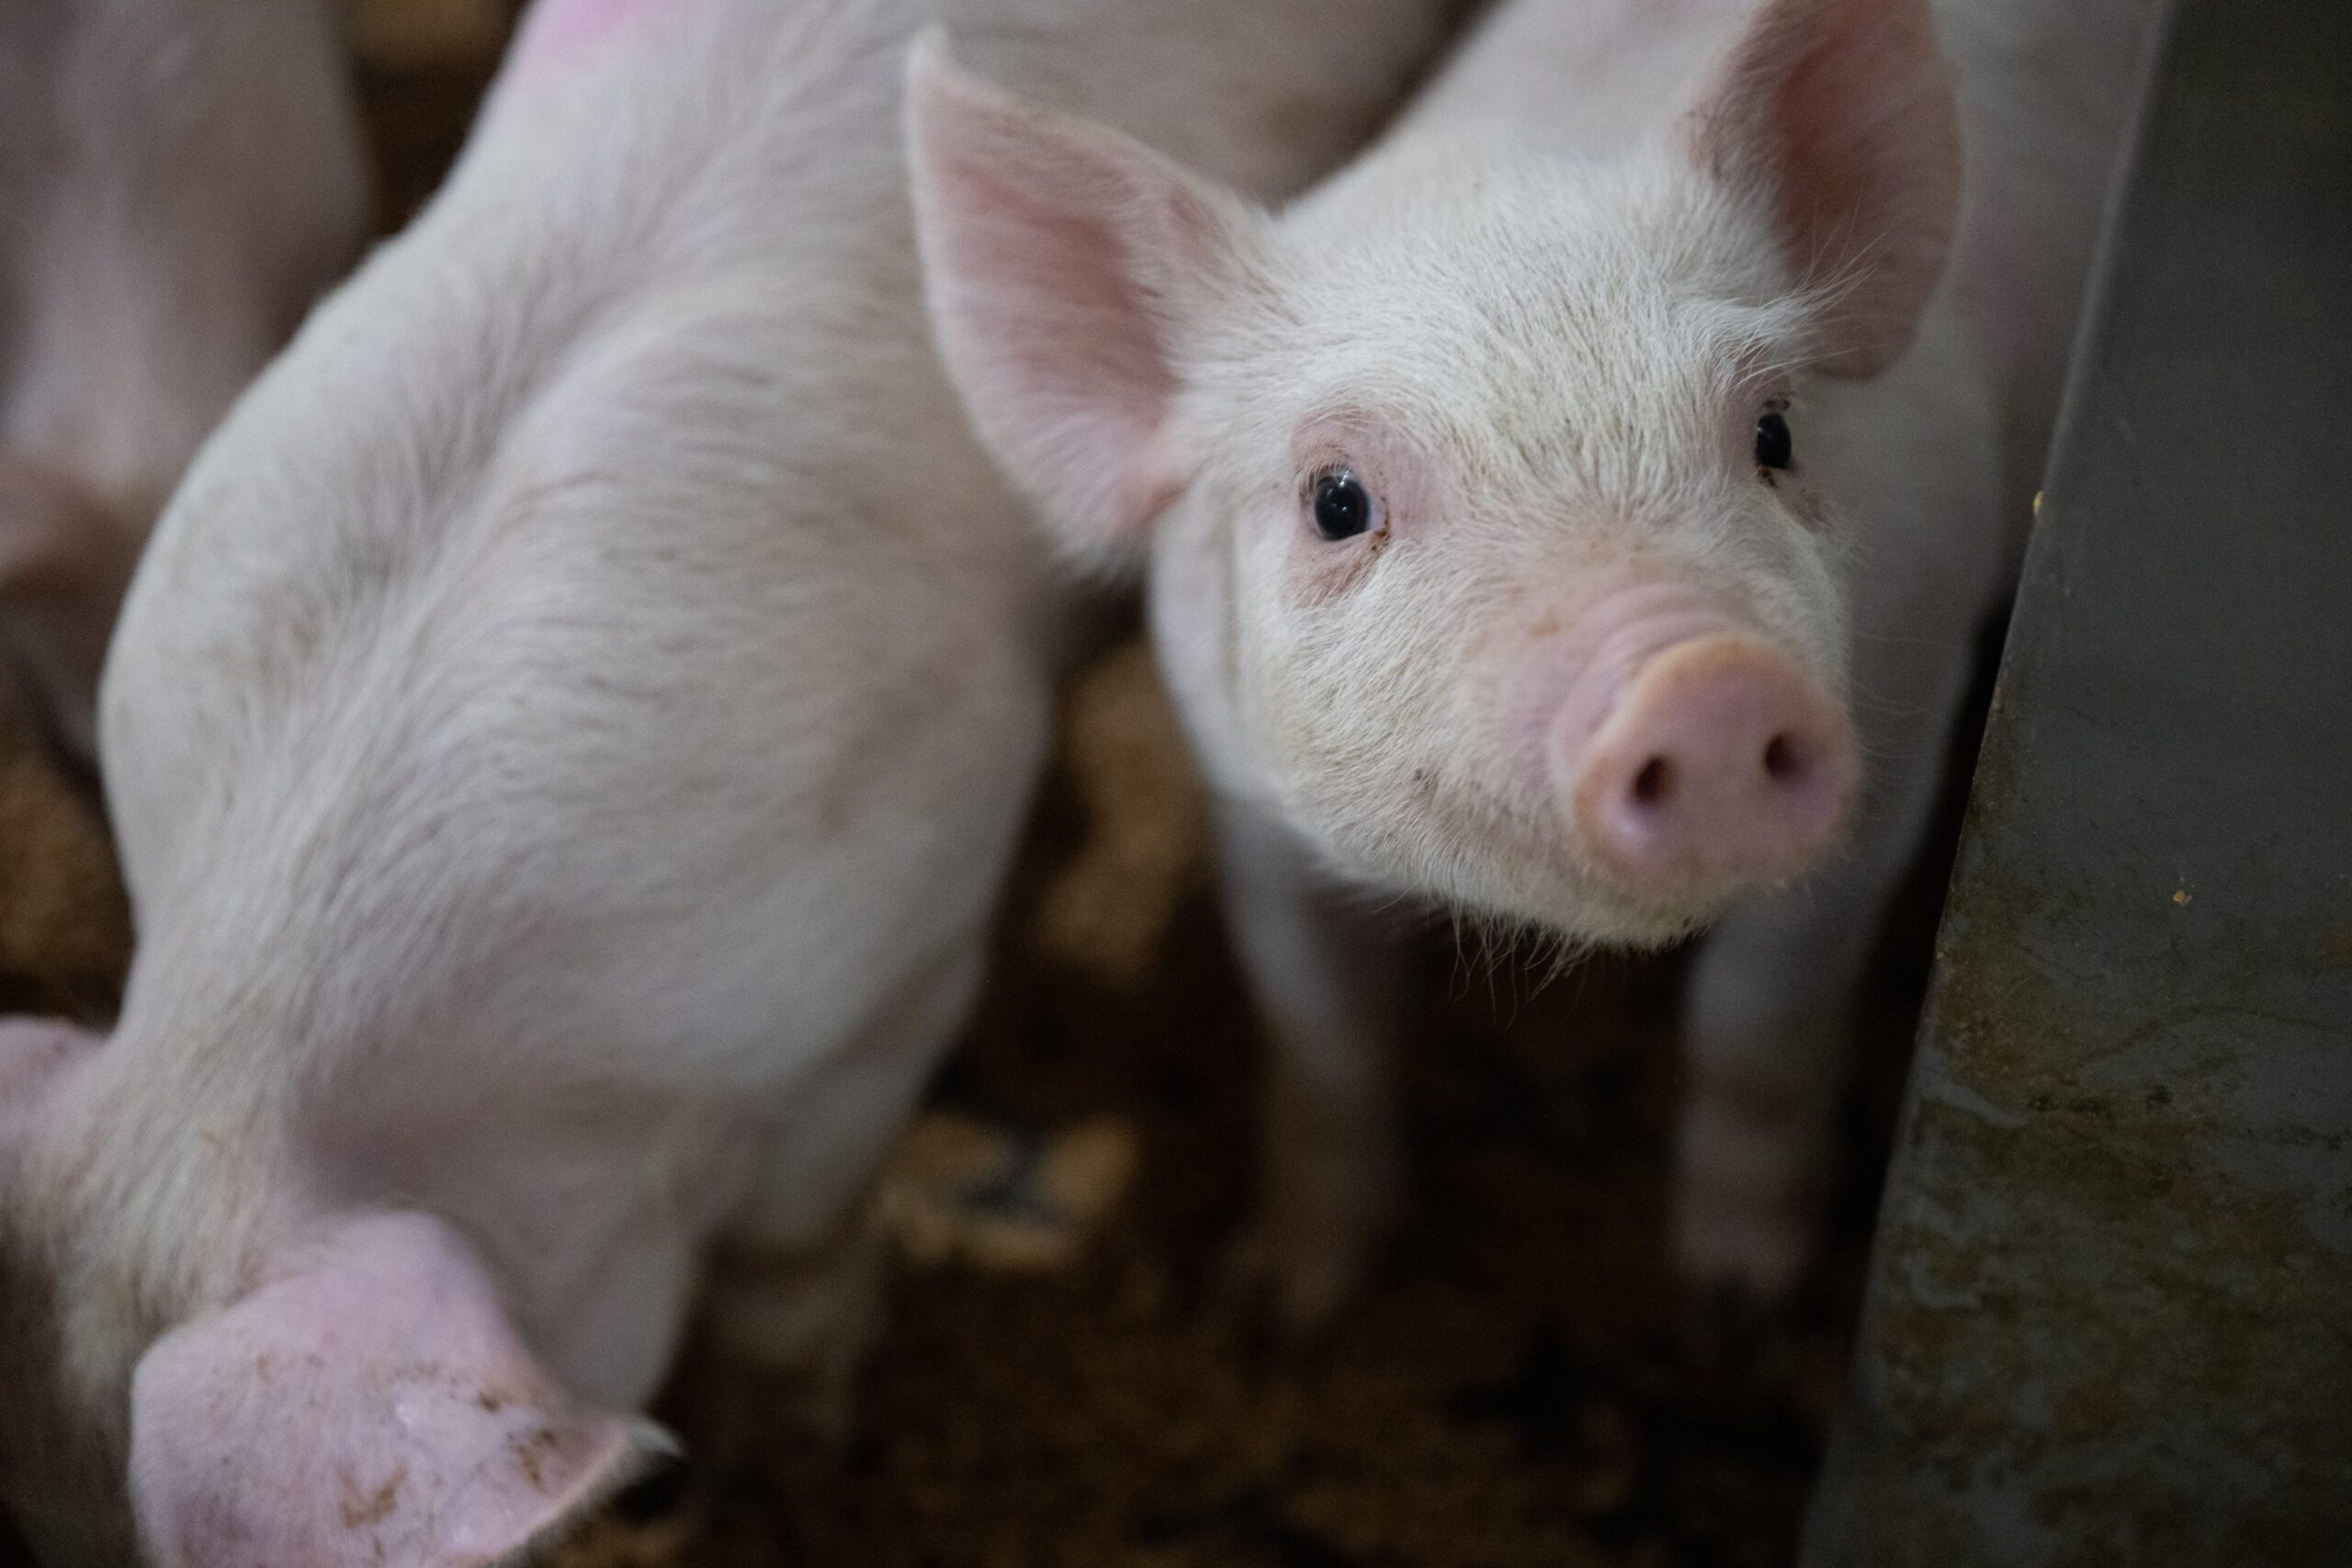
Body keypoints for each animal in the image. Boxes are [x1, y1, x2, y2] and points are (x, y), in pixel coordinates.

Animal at [905, 0, 2162, 1325]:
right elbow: (1321, 1034)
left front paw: (1737, 1288)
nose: (1706, 682)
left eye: (1773, 433)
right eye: (1337, 500)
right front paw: (1289, 1298)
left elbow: (1760, 1019)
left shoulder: (1907, 715)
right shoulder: (1244, 799)